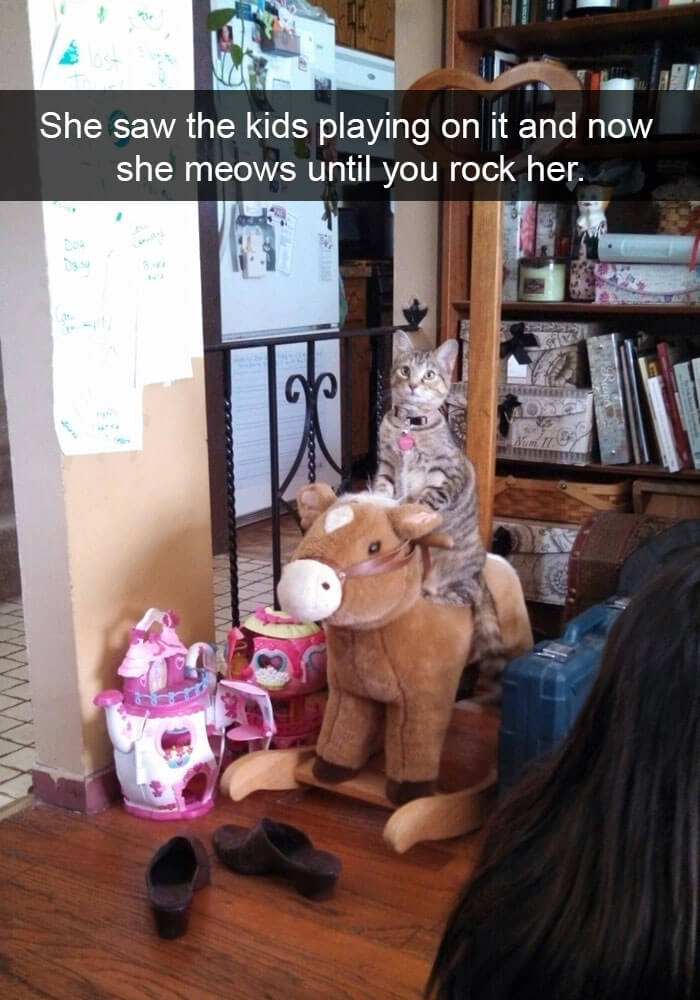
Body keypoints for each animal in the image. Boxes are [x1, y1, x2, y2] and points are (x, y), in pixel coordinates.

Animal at [372, 332, 504, 676]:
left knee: (463, 600)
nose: (413, 384)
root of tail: (481, 576)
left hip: (458, 575)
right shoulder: (386, 465)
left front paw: (407, 511)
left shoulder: (447, 477)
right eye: (405, 370)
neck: (410, 428)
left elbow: (424, 499)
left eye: (429, 374)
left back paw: (433, 595)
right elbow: (383, 489)